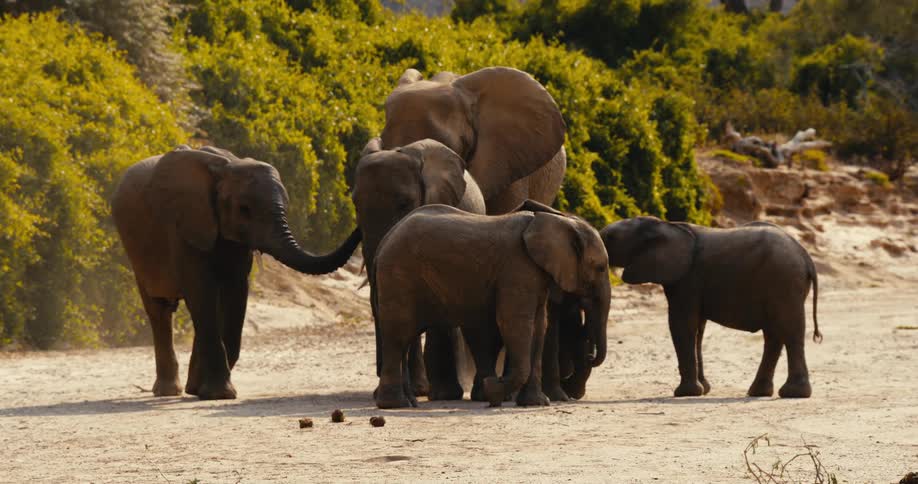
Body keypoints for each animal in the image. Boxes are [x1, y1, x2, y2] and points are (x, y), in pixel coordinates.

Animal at [111, 146, 360, 400]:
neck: (227, 166)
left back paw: (190, 388)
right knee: (159, 309)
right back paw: (168, 391)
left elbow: (235, 292)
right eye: (244, 209)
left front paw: (205, 391)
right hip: (137, 252)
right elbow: (201, 291)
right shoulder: (185, 226)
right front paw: (219, 394)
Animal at [371, 204, 611, 409]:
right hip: (399, 276)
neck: (558, 221)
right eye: (600, 268)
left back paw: (409, 402)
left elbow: (539, 325)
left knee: (403, 340)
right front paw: (493, 390)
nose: (591, 357)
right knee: (398, 336)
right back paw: (395, 405)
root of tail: (385, 240)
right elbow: (514, 323)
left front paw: (536, 403)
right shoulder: (517, 268)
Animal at [599, 217, 821, 398]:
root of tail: (806, 257)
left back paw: (793, 394)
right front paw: (703, 389)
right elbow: (698, 328)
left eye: (609, 237)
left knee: (789, 330)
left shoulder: (688, 278)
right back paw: (759, 392)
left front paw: (686, 393)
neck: (665, 225)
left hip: (784, 281)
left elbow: (682, 324)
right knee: (774, 334)